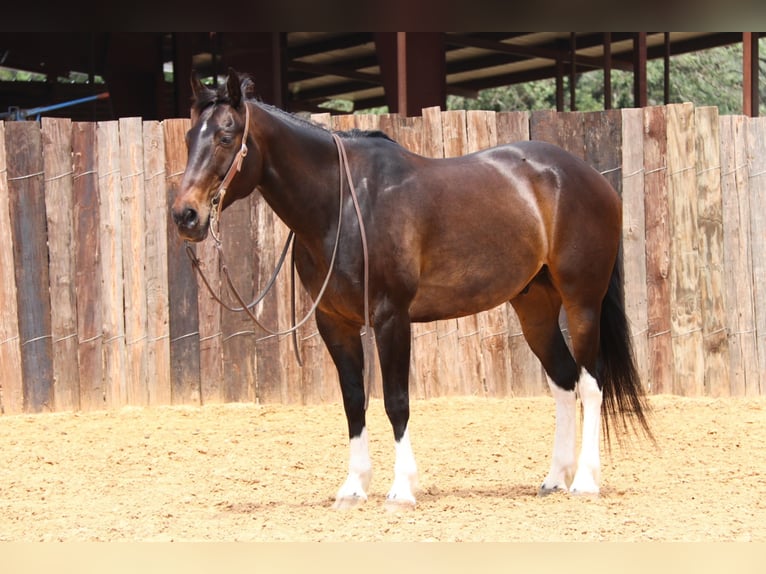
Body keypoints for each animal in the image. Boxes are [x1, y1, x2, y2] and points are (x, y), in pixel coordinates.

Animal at [174, 70, 656, 510]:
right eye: (188, 136)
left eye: (225, 136)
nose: (185, 215)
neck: (344, 204)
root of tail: (589, 177)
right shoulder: (335, 323)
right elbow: (354, 401)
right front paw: (354, 487)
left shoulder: (392, 317)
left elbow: (396, 401)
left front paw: (402, 488)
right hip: (534, 307)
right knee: (563, 380)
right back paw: (555, 478)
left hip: (582, 302)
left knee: (591, 383)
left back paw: (586, 481)